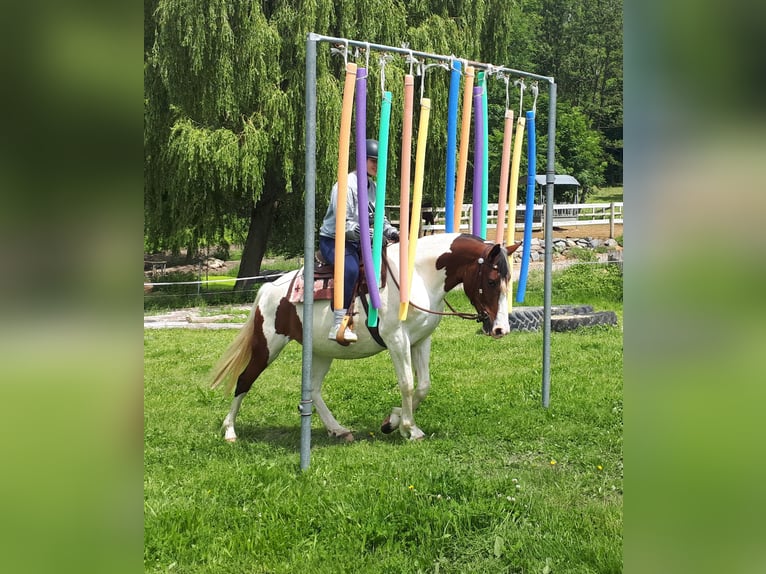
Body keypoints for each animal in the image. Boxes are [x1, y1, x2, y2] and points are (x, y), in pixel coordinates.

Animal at [210, 234, 520, 446]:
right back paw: (230, 431)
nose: (500, 329)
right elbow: (408, 384)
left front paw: (391, 422)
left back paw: (337, 429)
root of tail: (269, 288)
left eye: (509, 281)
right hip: (268, 345)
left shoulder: (421, 341)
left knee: (313, 390)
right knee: (244, 380)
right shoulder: (397, 340)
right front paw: (410, 428)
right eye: (492, 281)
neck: (416, 276)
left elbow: (423, 385)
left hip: (322, 351)